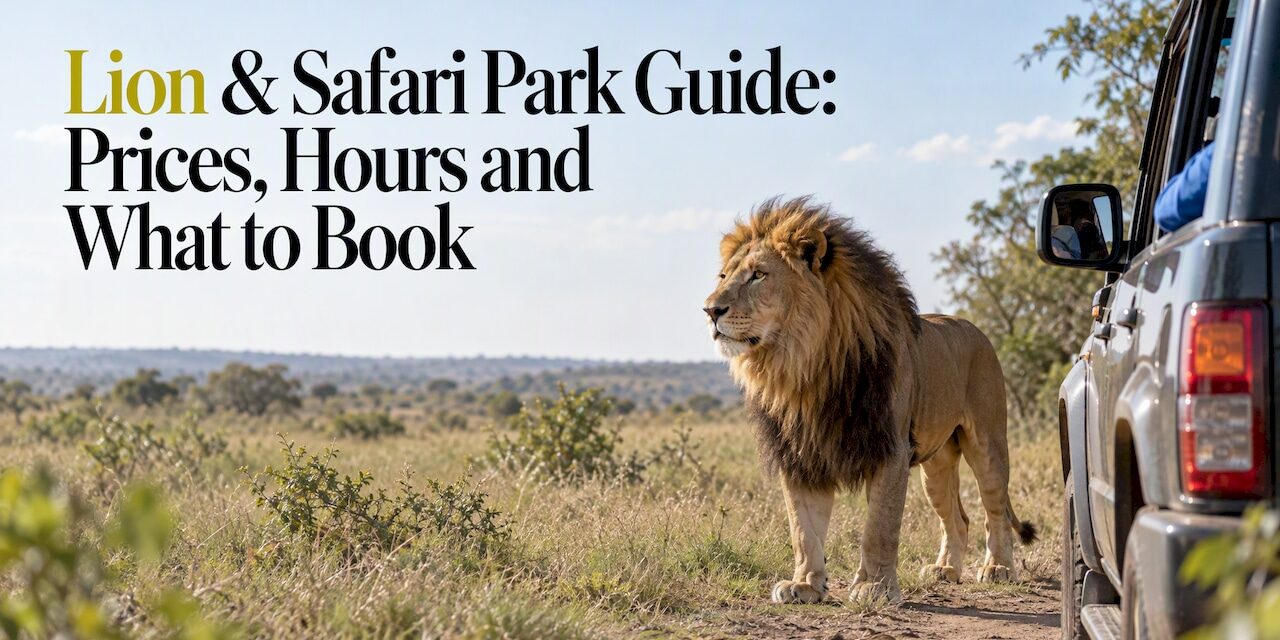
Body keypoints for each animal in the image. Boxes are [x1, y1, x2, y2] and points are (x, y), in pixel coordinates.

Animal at [703, 197, 1036, 604]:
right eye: (723, 277)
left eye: (758, 275)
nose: (710, 310)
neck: (803, 366)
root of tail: (975, 328)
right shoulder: (801, 455)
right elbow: (803, 529)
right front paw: (805, 584)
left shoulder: (889, 448)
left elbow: (880, 526)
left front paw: (874, 587)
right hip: (937, 464)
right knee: (958, 517)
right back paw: (945, 570)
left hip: (987, 442)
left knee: (994, 509)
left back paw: (999, 568)